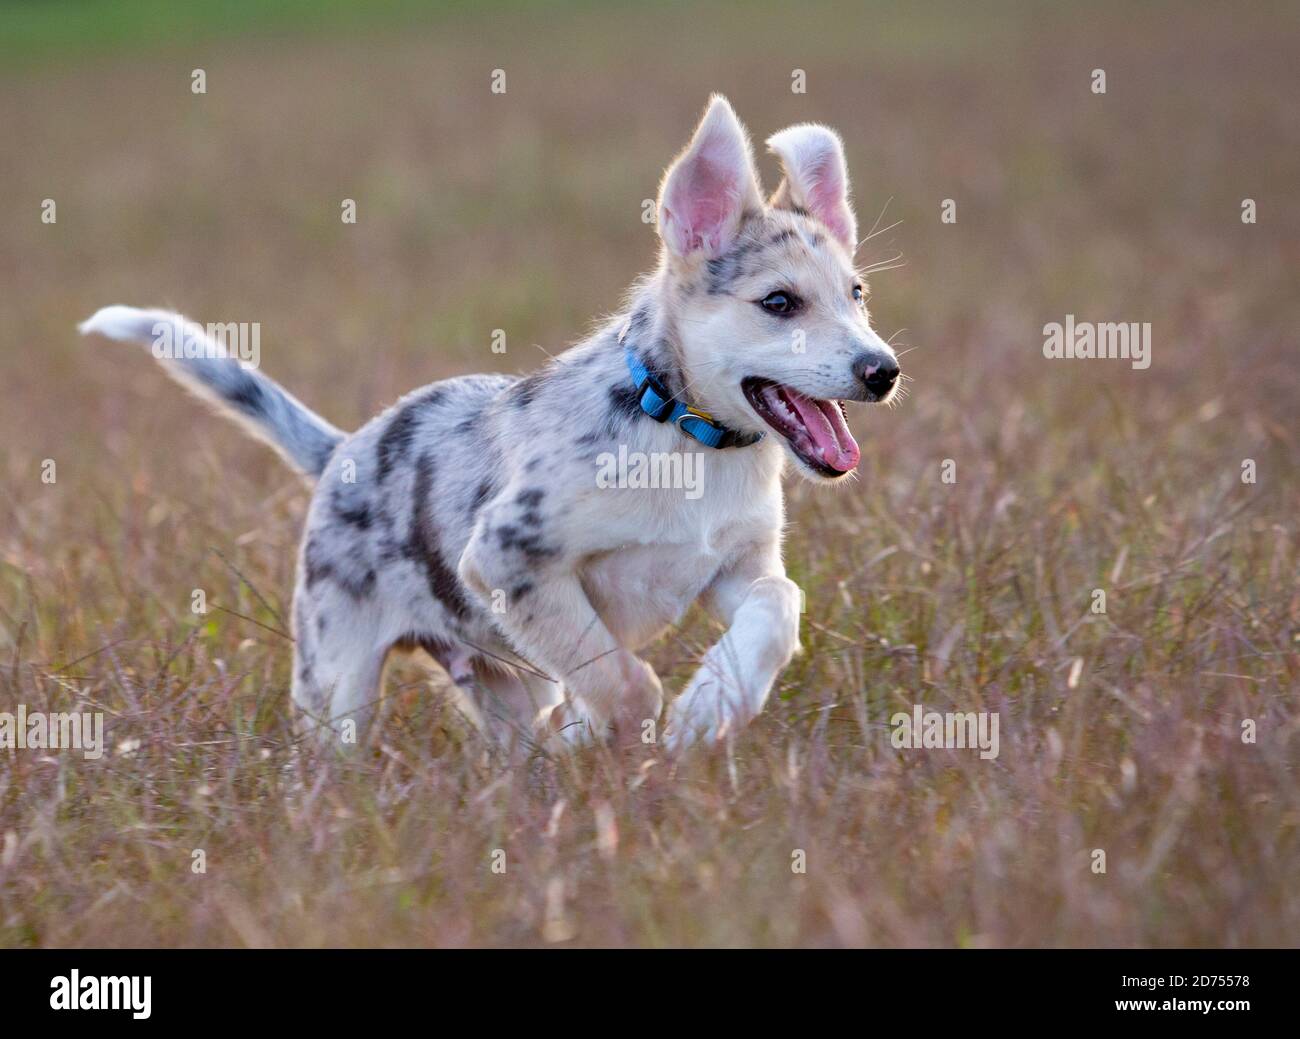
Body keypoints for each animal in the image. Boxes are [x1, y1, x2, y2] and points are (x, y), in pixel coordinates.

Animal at [78, 93, 894, 754]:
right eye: (780, 303)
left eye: (856, 295)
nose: (881, 370)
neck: (684, 436)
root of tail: (344, 449)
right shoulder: (509, 558)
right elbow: (626, 683)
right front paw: (614, 736)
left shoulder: (734, 567)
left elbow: (778, 606)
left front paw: (711, 707)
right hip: (336, 681)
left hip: (507, 678)